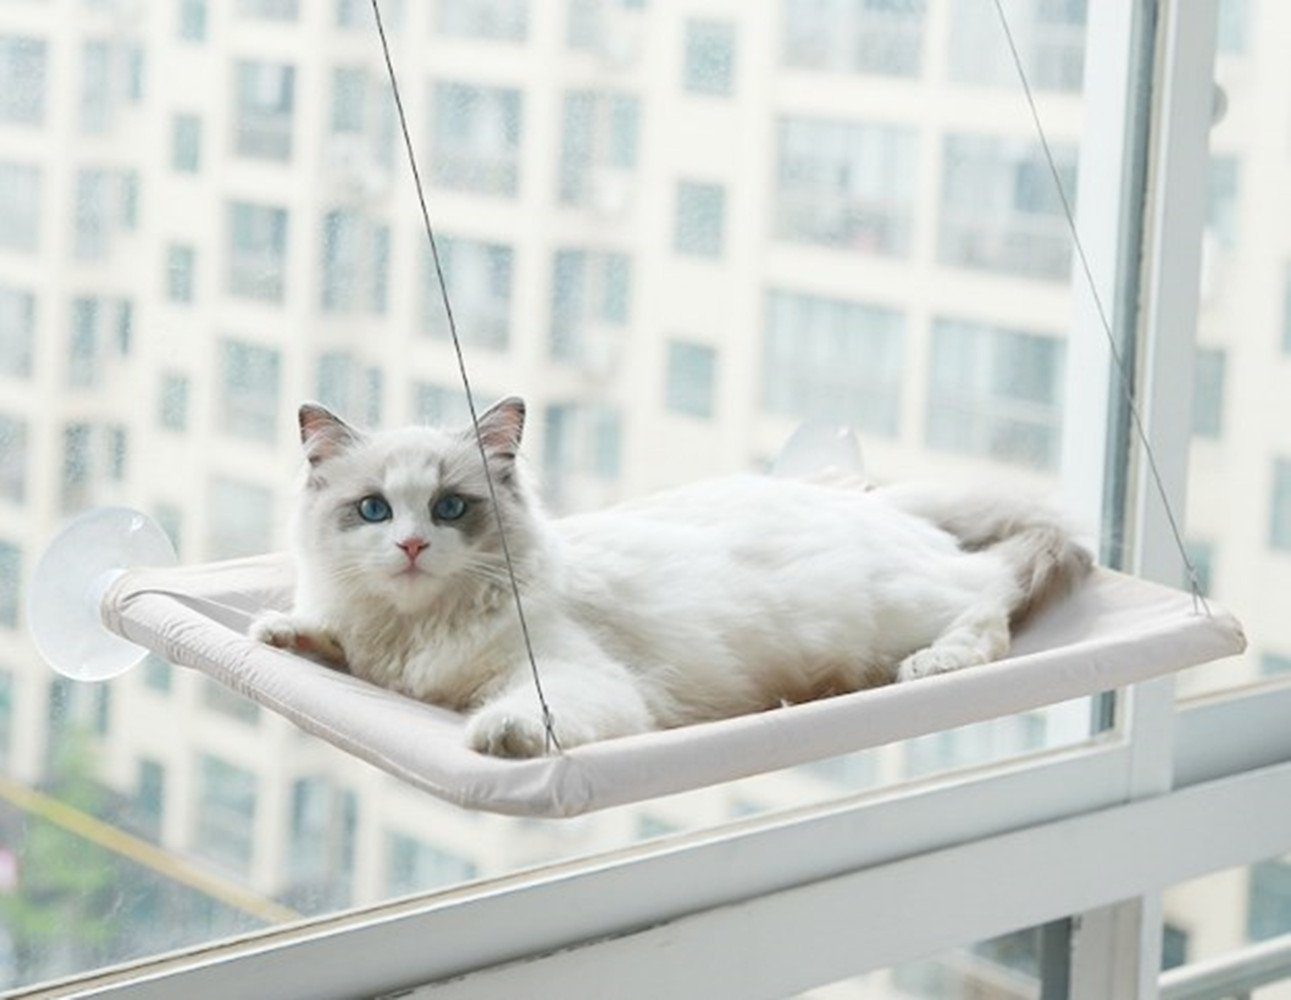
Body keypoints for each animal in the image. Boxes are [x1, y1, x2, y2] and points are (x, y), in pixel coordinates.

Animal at [251, 398, 1092, 758]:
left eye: (450, 507)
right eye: (373, 509)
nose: (412, 546)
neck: (416, 629)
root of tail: (871, 501)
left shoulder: (572, 678)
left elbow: (524, 711)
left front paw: (499, 734)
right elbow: (329, 640)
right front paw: (283, 633)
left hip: (902, 606)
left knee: (989, 601)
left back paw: (933, 663)